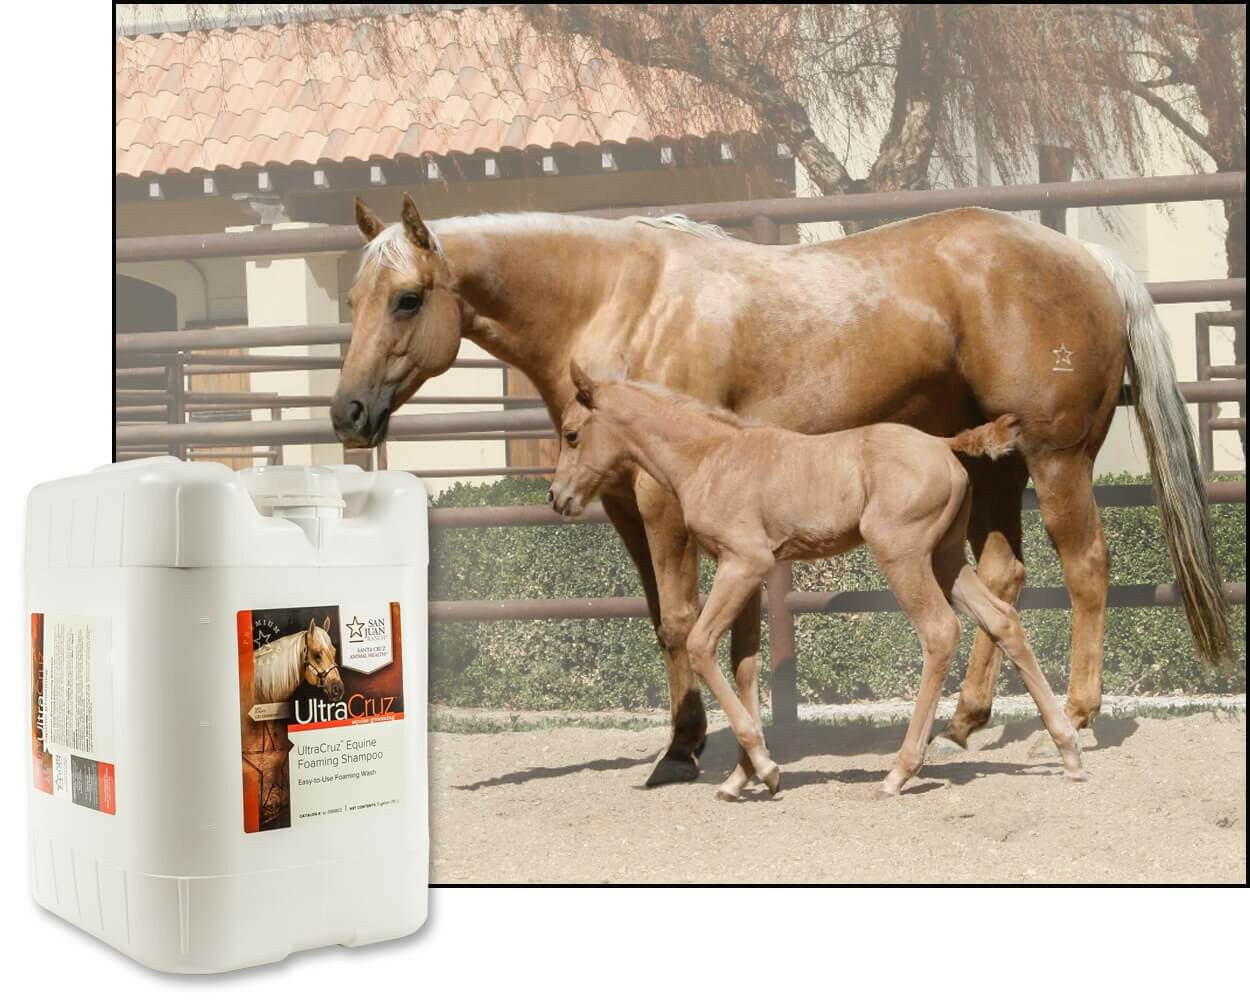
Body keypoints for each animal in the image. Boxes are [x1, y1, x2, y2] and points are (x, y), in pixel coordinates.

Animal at [549, 364, 1086, 798]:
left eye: (572, 434)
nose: (557, 497)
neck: (710, 457)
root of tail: (942, 443)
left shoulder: (743, 563)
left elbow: (701, 646)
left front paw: (765, 769)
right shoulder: (746, 571)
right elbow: (745, 664)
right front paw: (742, 777)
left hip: (903, 555)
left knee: (939, 632)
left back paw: (900, 771)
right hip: (946, 558)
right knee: (1003, 619)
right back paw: (1068, 751)